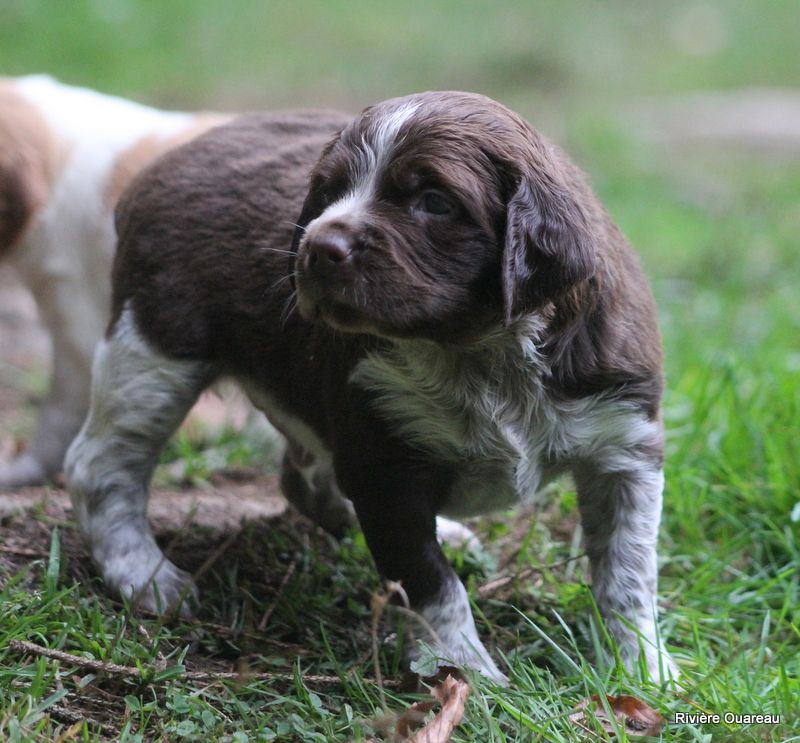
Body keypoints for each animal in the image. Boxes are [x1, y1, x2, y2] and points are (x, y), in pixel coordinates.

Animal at [65, 93, 676, 684]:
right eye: (328, 192)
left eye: (434, 201)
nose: (316, 248)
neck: (476, 348)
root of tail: (164, 162)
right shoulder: (386, 462)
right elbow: (432, 583)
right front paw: (467, 673)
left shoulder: (624, 446)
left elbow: (628, 574)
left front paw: (643, 670)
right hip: (153, 350)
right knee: (101, 465)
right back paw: (146, 577)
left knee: (303, 476)